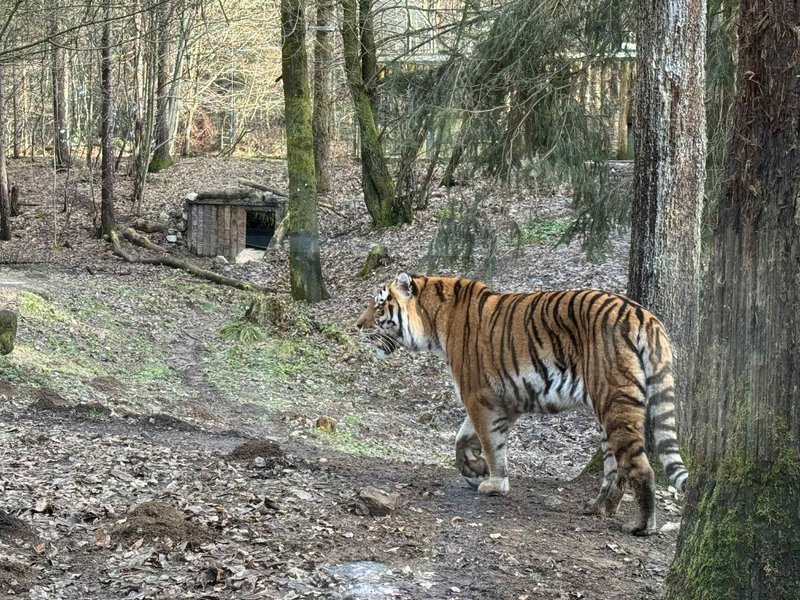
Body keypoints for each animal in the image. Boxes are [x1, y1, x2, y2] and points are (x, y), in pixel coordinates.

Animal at [356, 272, 688, 535]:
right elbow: (462, 440)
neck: (434, 321)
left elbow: (491, 444)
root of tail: (644, 314)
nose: (357, 325)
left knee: (640, 467)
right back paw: (596, 508)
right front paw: (474, 470)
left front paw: (493, 483)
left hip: (615, 400)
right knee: (613, 469)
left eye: (378, 304)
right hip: (604, 410)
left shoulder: (479, 396)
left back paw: (642, 526)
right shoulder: (505, 401)